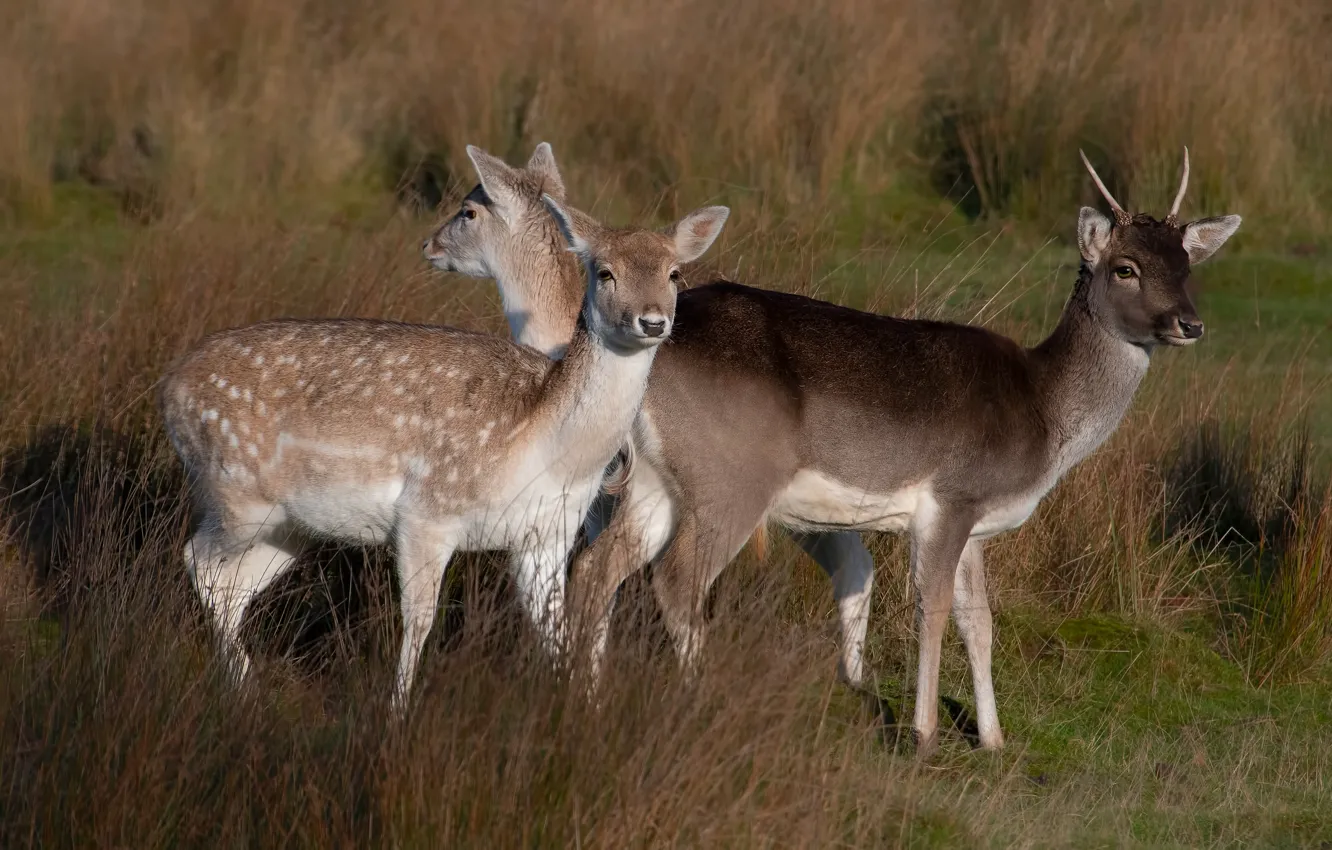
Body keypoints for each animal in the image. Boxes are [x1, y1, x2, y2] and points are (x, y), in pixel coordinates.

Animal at [158, 191, 730, 709]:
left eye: (674, 273)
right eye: (604, 271)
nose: (652, 321)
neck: (547, 446)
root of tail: (169, 388)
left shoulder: (548, 534)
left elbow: (554, 629)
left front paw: (571, 711)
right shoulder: (427, 512)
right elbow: (419, 620)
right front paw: (398, 713)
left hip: (290, 526)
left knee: (234, 585)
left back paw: (245, 688)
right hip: (233, 491)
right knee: (198, 561)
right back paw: (241, 689)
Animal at [423, 144, 1240, 753]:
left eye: (1187, 266)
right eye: (1125, 266)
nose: (1190, 324)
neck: (1043, 413)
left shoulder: (977, 522)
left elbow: (980, 620)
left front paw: (994, 738)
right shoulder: (950, 498)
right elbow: (930, 608)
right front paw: (923, 735)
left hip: (657, 480)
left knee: (598, 569)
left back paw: (588, 702)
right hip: (731, 478)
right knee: (677, 579)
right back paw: (693, 700)